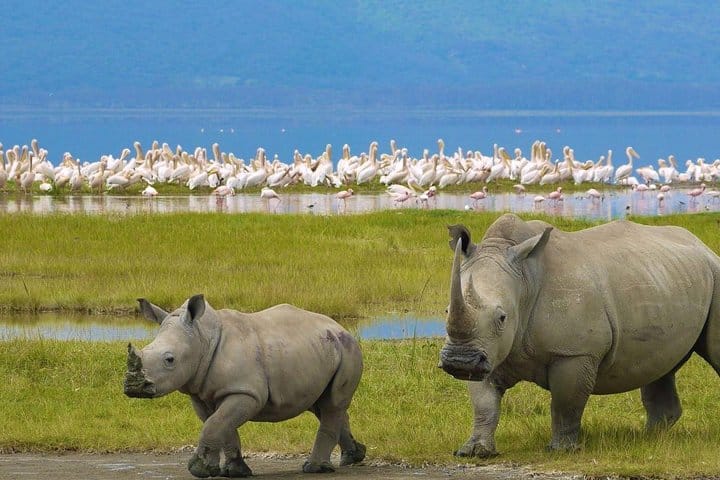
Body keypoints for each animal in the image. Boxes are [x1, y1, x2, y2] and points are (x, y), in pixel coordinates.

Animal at [124, 294, 366, 477]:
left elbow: (215, 424)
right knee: (322, 405)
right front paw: (233, 471)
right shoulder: (203, 394)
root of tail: (339, 327)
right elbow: (221, 425)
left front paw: (199, 470)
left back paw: (314, 468)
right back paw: (353, 456)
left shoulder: (246, 392)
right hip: (321, 349)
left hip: (348, 350)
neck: (202, 338)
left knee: (332, 404)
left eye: (170, 359)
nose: (133, 387)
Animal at [439, 213, 720, 456]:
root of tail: (702, 245)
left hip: (714, 273)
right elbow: (484, 403)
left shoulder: (574, 353)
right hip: (664, 279)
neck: (525, 280)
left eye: (502, 317)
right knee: (660, 365)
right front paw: (474, 452)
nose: (459, 361)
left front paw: (561, 450)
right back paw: (649, 438)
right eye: (446, 310)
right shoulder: (489, 351)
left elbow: (566, 403)